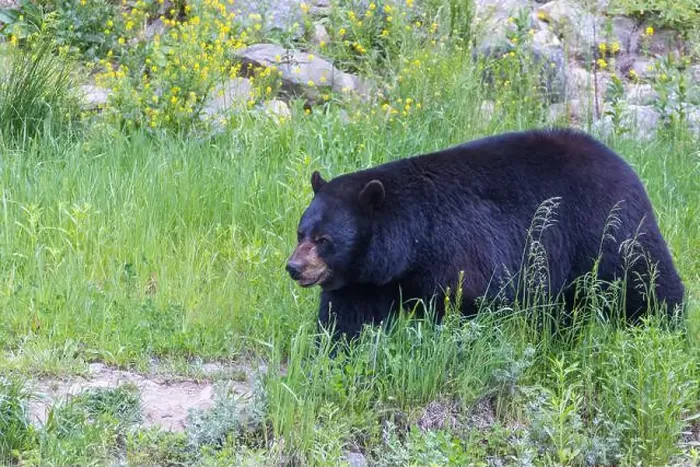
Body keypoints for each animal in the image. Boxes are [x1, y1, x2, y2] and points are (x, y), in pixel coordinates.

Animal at [286, 128, 685, 340]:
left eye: (324, 240)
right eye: (301, 232)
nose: (293, 267)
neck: (411, 245)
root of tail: (624, 165)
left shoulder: (461, 251)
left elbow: (468, 302)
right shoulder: (367, 279)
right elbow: (347, 317)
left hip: (606, 230)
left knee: (645, 281)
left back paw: (664, 324)